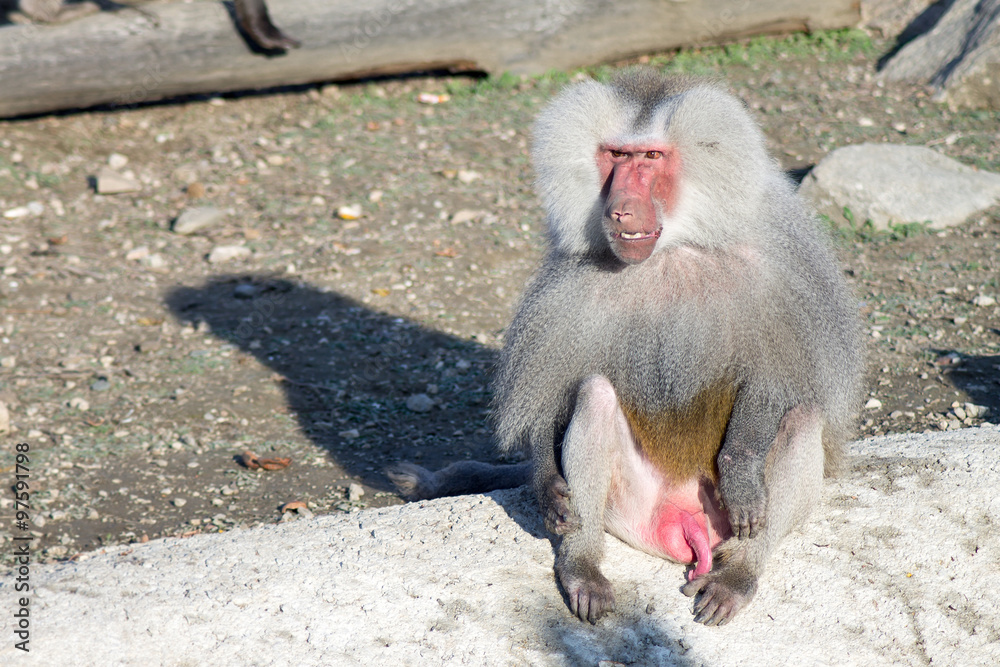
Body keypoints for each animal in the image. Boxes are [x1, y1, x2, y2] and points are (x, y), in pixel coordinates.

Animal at [388, 69, 864, 627]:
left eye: (651, 158)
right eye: (615, 155)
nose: (620, 209)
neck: (673, 249)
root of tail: (688, 529)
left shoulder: (787, 270)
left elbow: (781, 378)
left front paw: (741, 473)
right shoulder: (569, 286)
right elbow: (550, 399)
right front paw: (546, 483)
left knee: (802, 417)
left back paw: (737, 575)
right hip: (630, 510)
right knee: (594, 397)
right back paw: (583, 568)